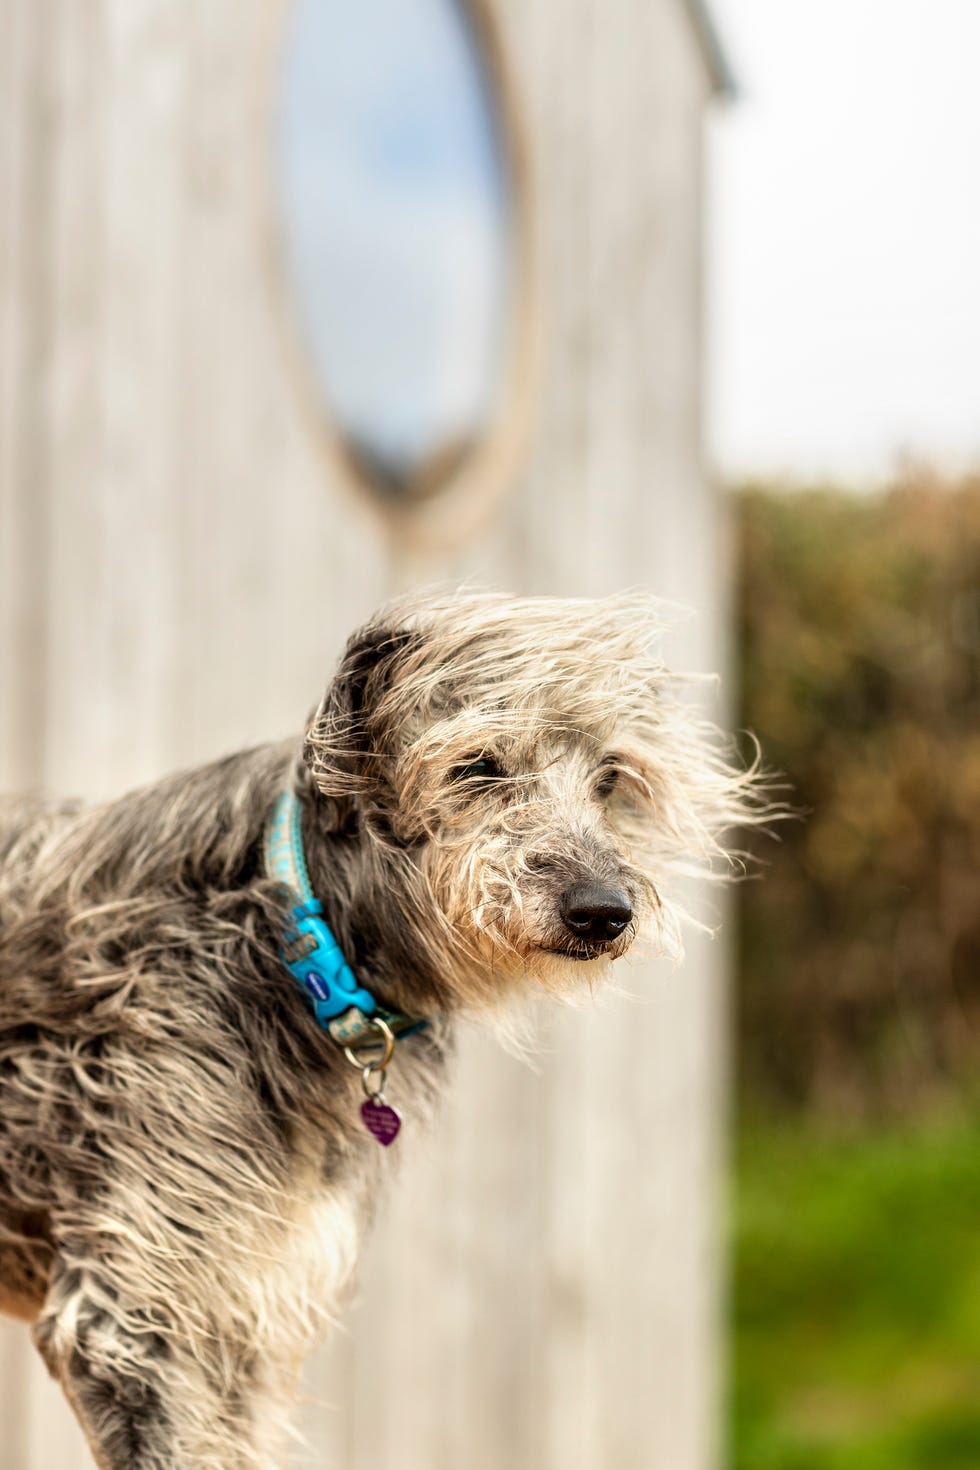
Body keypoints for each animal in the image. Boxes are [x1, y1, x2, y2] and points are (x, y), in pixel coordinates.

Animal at [0, 593, 758, 1470]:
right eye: (478, 766)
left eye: (609, 778)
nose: (604, 912)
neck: (289, 932)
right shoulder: (131, 1320)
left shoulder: (240, 1315)